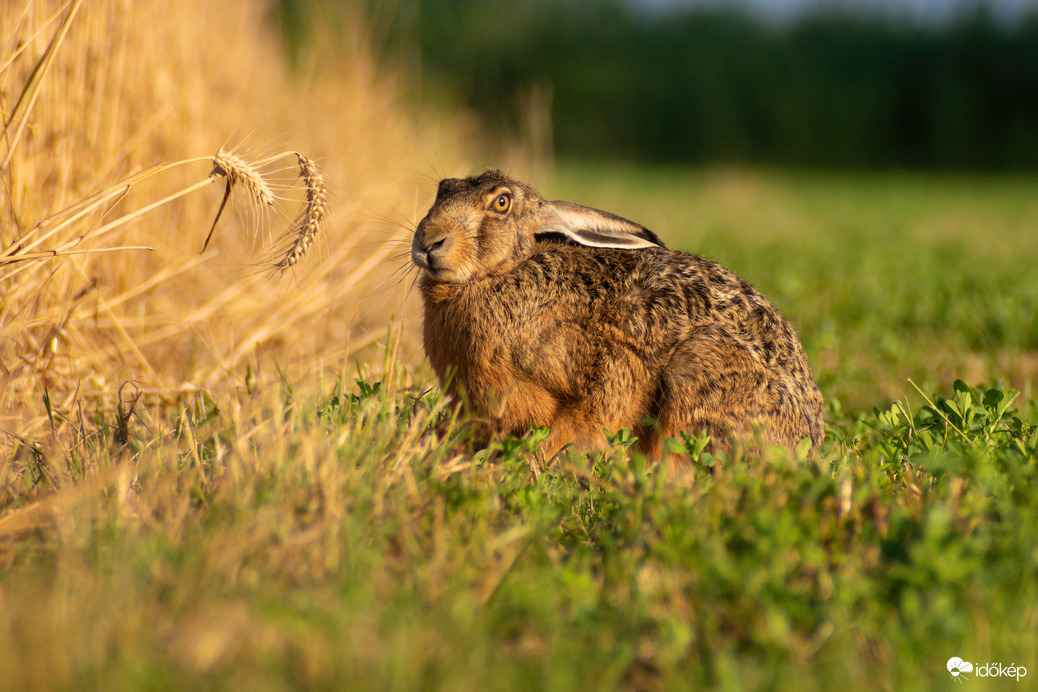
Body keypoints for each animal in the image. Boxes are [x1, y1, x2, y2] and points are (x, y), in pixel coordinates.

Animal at [411, 169, 824, 462]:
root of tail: (808, 443)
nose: (428, 241)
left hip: (702, 365)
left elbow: (589, 413)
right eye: (443, 188)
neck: (503, 272)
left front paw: (536, 460)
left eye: (500, 203)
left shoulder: (604, 363)